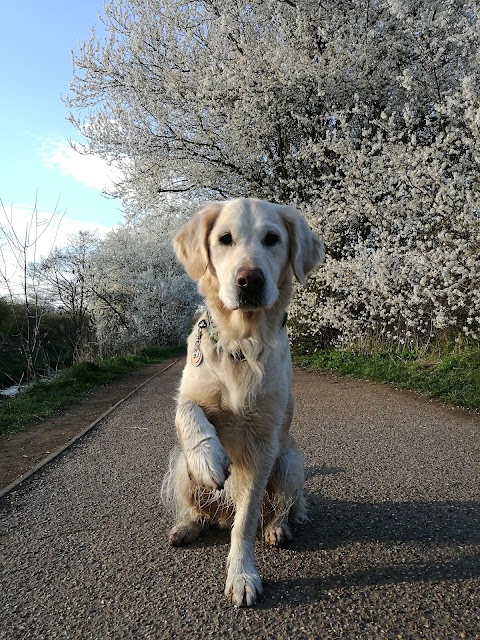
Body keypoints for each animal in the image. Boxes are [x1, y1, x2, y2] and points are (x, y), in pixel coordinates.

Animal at [163, 198, 324, 608]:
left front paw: (242, 576)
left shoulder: (263, 446)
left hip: (290, 463)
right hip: (179, 468)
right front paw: (209, 456)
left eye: (272, 238)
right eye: (224, 238)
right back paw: (186, 526)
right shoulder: (188, 392)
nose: (249, 280)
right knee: (198, 510)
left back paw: (278, 529)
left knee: (279, 509)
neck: (242, 342)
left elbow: (246, 522)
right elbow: (187, 409)